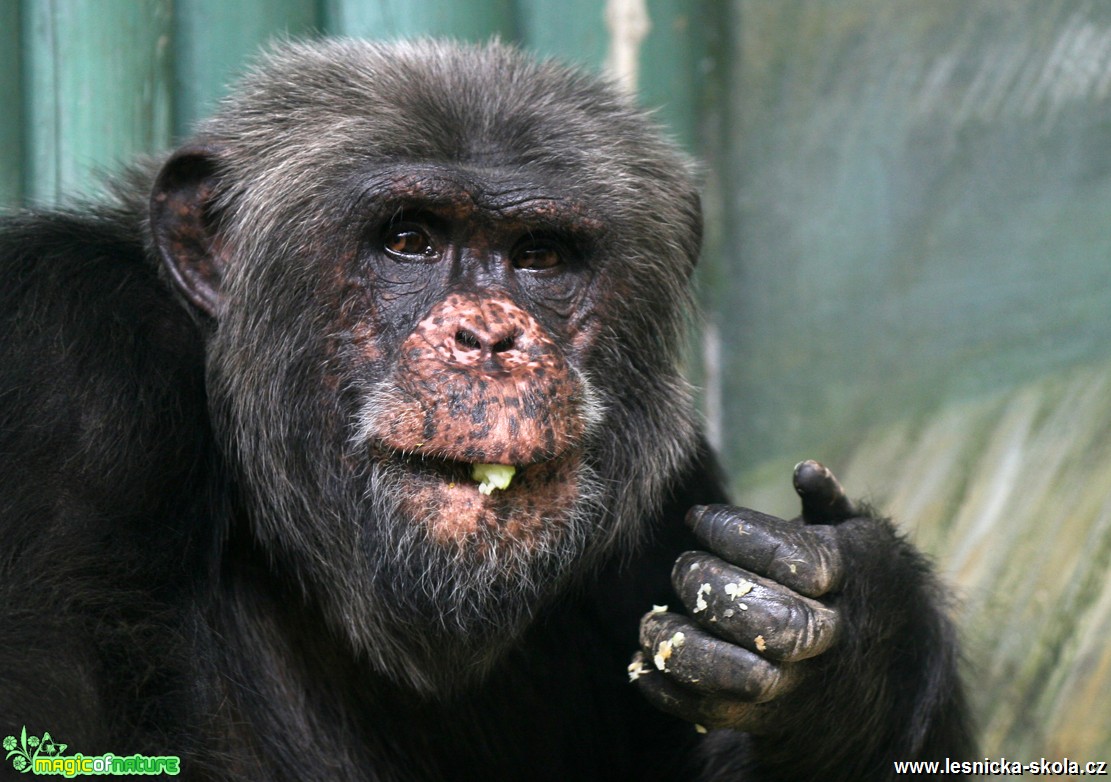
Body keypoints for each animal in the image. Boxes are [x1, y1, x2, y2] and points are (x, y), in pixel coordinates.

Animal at [0, 41, 973, 782]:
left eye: (539, 256)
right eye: (408, 240)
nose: (490, 334)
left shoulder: (672, 490)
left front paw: (851, 640)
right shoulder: (64, 371)